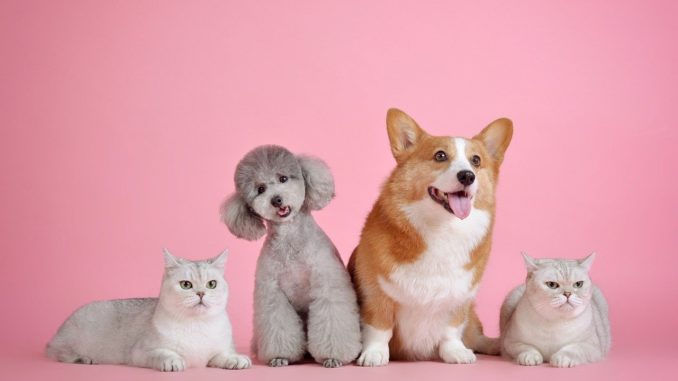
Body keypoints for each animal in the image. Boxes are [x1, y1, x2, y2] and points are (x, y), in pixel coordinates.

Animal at [46, 249, 251, 372]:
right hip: (72, 339)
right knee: (61, 353)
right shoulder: (141, 352)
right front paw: (173, 361)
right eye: (186, 285)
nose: (201, 293)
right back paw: (83, 359)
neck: (197, 324)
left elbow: (222, 355)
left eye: (211, 284)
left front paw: (236, 359)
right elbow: (164, 353)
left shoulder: (217, 351)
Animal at [350, 108, 516, 364]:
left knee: (476, 335)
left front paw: (456, 352)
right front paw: (374, 354)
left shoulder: (460, 297)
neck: (443, 229)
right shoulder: (376, 292)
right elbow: (379, 328)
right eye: (440, 156)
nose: (467, 176)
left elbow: (451, 330)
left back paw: (495, 344)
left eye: (476, 160)